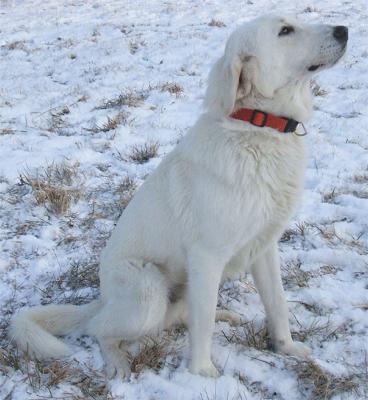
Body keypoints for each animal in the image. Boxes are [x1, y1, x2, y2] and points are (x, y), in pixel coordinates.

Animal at [9, 14, 348, 378]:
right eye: (285, 31)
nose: (344, 30)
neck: (258, 129)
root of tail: (103, 299)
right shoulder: (207, 256)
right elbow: (204, 324)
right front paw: (202, 374)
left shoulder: (264, 248)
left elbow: (277, 304)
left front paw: (286, 348)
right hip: (149, 293)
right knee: (100, 328)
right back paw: (117, 363)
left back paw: (227, 316)